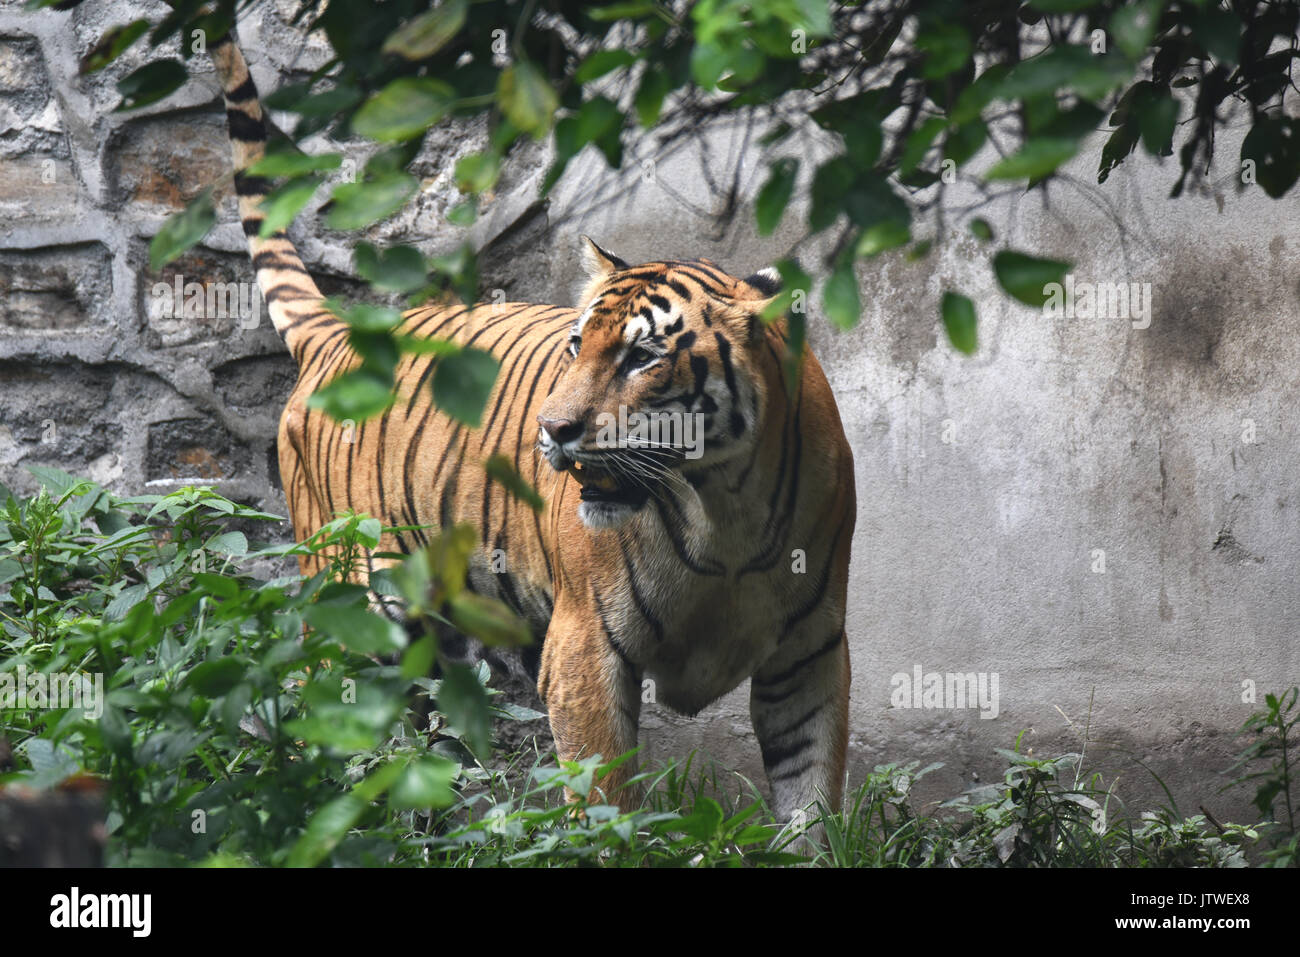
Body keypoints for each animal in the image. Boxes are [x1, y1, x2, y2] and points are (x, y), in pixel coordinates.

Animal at [208, 29, 857, 821]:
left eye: (642, 357)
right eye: (578, 346)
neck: (722, 504)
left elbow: (812, 799)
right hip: (349, 604)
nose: (553, 429)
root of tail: (338, 335)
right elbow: (606, 804)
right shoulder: (585, 647)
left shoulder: (810, 652)